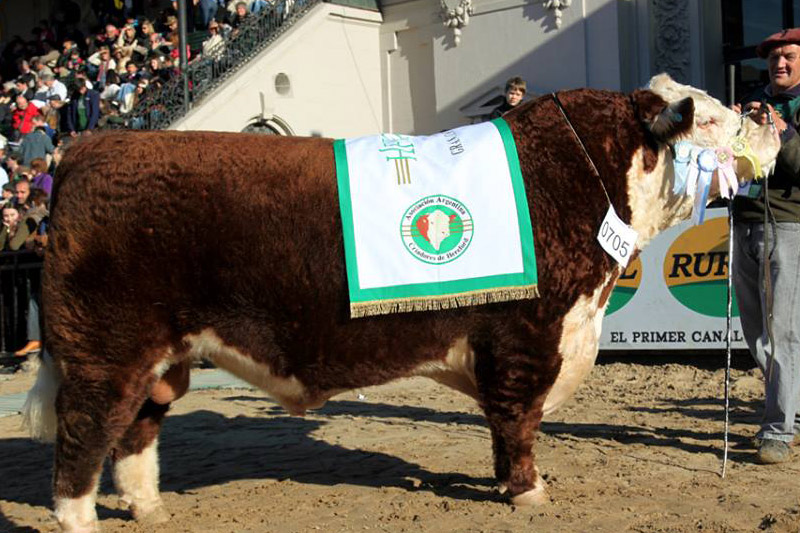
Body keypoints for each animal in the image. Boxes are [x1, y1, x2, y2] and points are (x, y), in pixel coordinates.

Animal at [25, 72, 780, 528]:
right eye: (715, 119)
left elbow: (505, 425)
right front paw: (529, 492)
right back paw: (81, 519)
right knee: (83, 437)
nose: (772, 121)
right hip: (105, 350)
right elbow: (519, 420)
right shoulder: (528, 336)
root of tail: (85, 147)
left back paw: (150, 509)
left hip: (161, 356)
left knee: (136, 432)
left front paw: (509, 483)